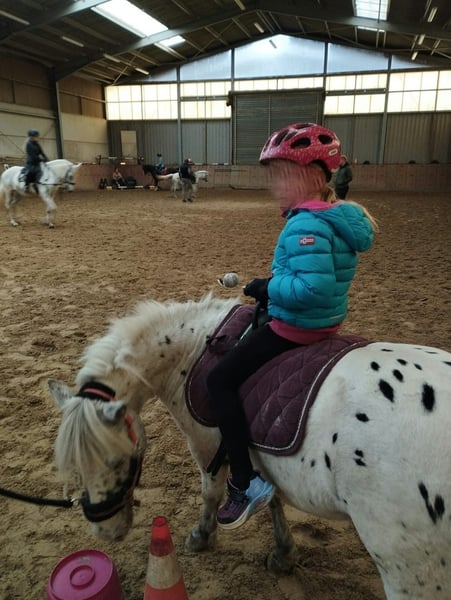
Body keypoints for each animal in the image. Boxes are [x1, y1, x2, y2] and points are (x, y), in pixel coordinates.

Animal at [48, 293, 451, 599]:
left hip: (409, 567)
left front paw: (202, 536)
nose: (106, 533)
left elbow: (212, 492)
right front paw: (283, 554)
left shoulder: (207, 445)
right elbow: (271, 498)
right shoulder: (255, 452)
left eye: (118, 462)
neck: (195, 349)